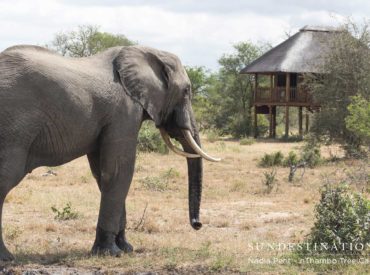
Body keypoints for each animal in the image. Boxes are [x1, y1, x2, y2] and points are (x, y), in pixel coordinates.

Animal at [0, 44, 220, 260]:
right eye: (186, 90)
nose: (197, 224)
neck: (144, 51)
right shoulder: (123, 112)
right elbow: (118, 172)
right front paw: (110, 253)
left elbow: (102, 174)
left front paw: (126, 248)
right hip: (14, 128)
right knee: (7, 178)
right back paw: (7, 258)